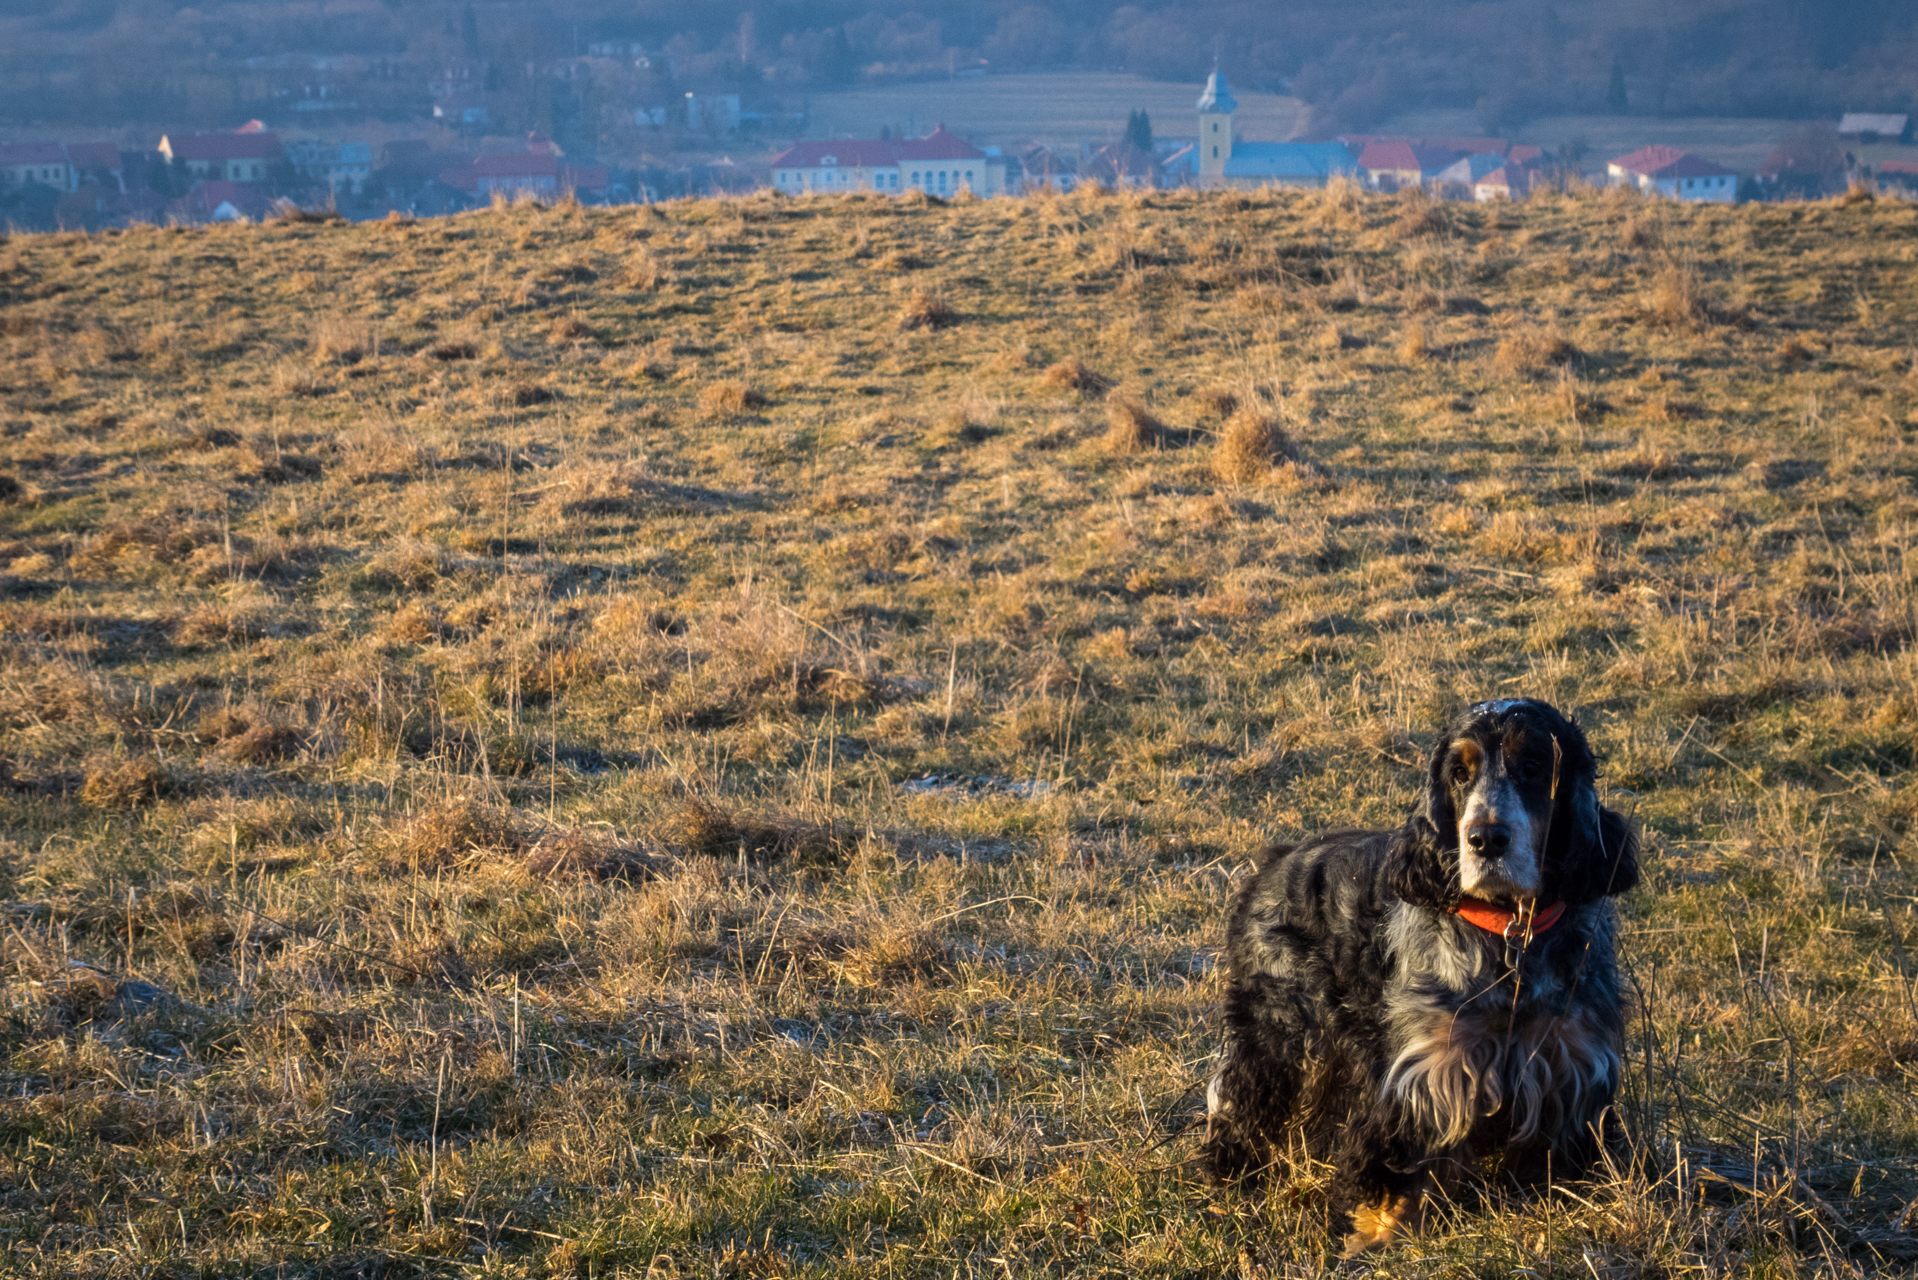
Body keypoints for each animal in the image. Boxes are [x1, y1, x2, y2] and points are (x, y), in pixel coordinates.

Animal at [1196, 694, 1634, 1258]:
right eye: (1459, 773)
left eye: (1534, 766)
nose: (1485, 838)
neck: (1510, 938)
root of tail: (1274, 861)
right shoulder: (1425, 1073)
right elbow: (1398, 1165)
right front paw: (1383, 1233)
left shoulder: (1570, 1066)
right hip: (1280, 1026)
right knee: (1238, 1093)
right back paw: (1231, 1168)